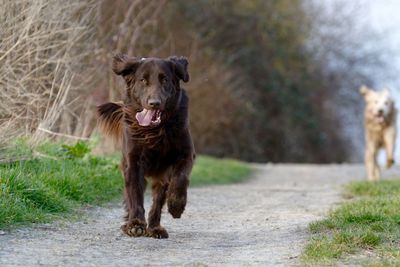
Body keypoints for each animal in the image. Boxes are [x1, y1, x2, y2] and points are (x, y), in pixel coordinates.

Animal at [97, 54, 194, 239]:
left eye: (165, 80)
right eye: (143, 80)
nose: (154, 103)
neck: (155, 130)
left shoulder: (185, 154)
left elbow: (180, 178)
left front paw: (176, 205)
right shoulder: (133, 161)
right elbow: (135, 193)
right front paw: (135, 224)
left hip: (161, 177)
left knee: (157, 201)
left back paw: (155, 227)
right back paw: (130, 224)